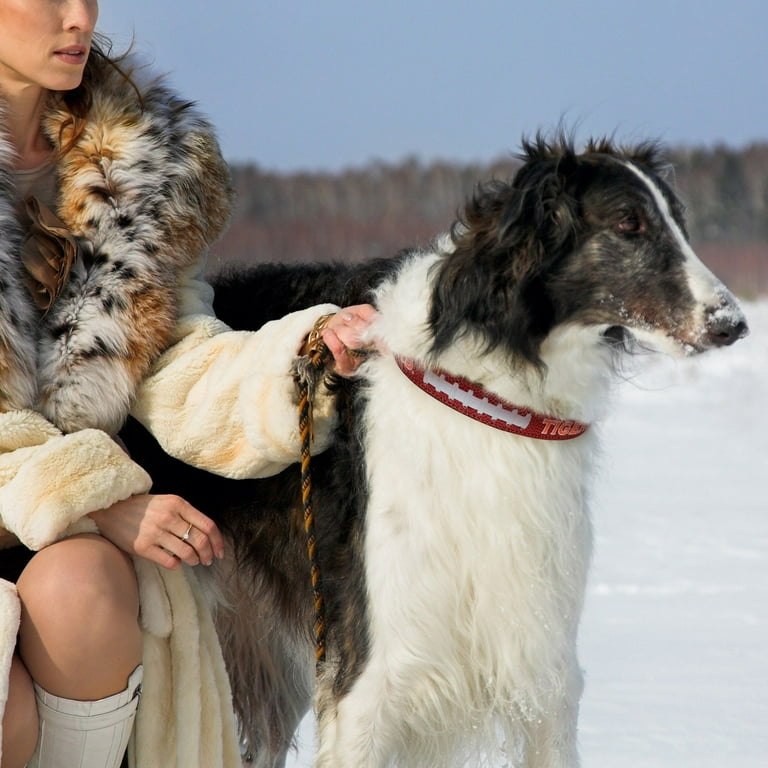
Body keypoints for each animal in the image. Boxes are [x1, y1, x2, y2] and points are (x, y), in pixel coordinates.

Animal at [121, 135, 752, 764]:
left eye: (679, 222)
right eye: (628, 222)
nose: (734, 324)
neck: (489, 392)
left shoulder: (542, 666)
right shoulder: (367, 675)